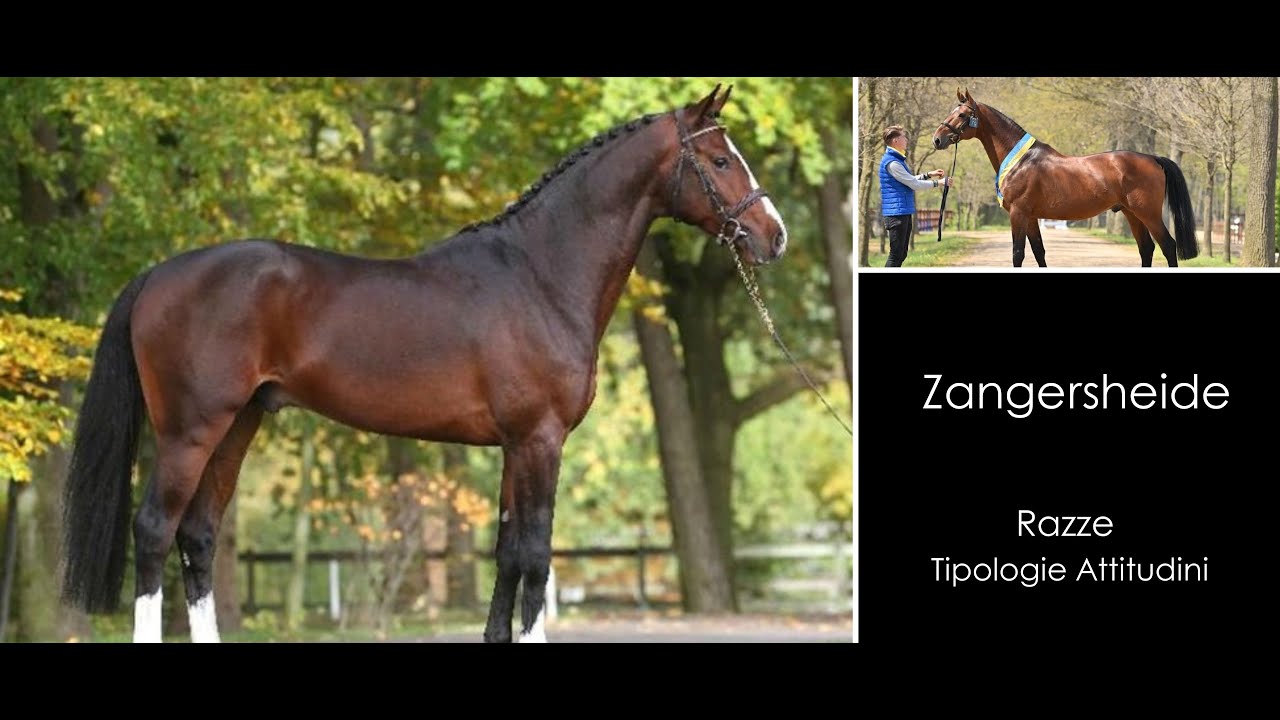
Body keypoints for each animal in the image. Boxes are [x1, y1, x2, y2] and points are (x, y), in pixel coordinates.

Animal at [60, 85, 788, 643]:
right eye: (720, 159)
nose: (775, 236)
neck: (540, 274)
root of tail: (159, 275)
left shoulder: (512, 446)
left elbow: (506, 557)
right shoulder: (539, 440)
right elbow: (535, 558)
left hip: (237, 425)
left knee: (199, 536)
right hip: (190, 429)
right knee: (156, 530)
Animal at [932, 88, 1196, 267]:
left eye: (963, 114)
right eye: (952, 112)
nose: (937, 139)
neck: (1021, 161)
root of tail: (1153, 158)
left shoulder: (1018, 213)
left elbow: (1018, 254)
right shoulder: (1031, 217)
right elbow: (1039, 252)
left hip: (1148, 213)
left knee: (1168, 246)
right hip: (1132, 213)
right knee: (1146, 249)